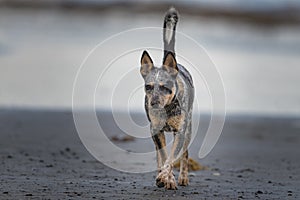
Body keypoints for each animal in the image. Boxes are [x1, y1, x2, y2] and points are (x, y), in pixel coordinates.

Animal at [139, 7, 193, 189]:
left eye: (165, 87)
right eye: (148, 87)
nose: (154, 103)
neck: (167, 108)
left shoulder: (180, 132)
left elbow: (172, 157)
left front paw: (167, 177)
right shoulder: (156, 130)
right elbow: (163, 155)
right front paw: (165, 177)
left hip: (188, 129)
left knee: (184, 154)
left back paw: (183, 178)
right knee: (158, 154)